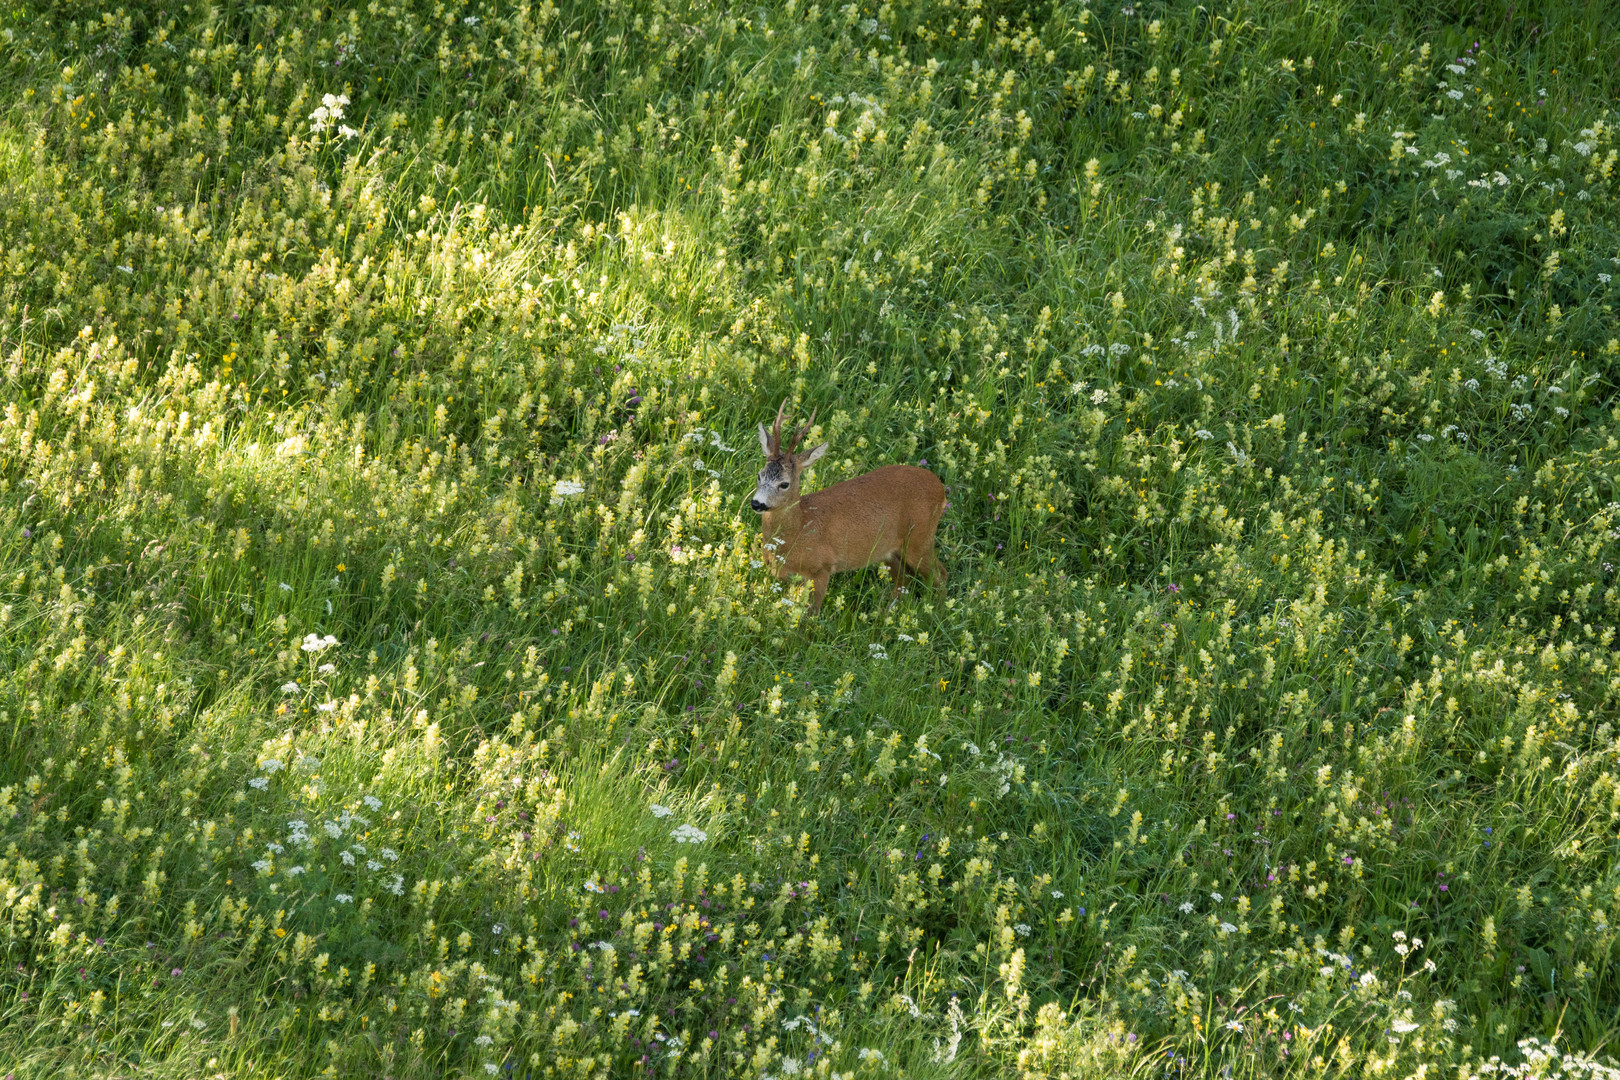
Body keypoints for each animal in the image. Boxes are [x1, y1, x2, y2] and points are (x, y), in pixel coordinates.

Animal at [748, 401, 946, 612]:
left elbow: (811, 614)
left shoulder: (823, 567)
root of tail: (940, 487)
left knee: (940, 575)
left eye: (784, 484)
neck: (800, 527)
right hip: (890, 549)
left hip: (920, 539)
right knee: (903, 580)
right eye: (760, 475)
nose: (757, 503)